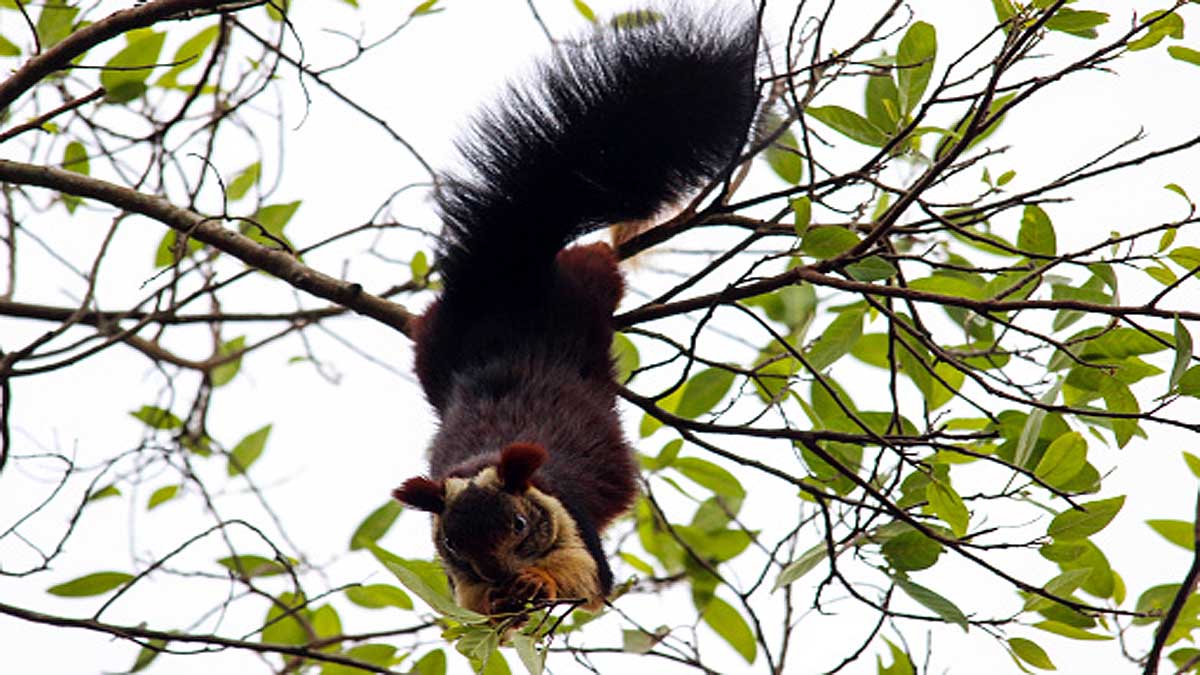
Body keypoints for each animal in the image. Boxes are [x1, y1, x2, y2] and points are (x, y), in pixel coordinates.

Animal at [392, 10, 759, 616]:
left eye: (519, 524)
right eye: (451, 542)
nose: (497, 571)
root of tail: (507, 282)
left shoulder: (571, 516)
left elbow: (589, 581)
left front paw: (540, 582)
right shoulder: (459, 581)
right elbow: (471, 605)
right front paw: (498, 598)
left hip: (584, 287)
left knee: (595, 268)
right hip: (433, 343)